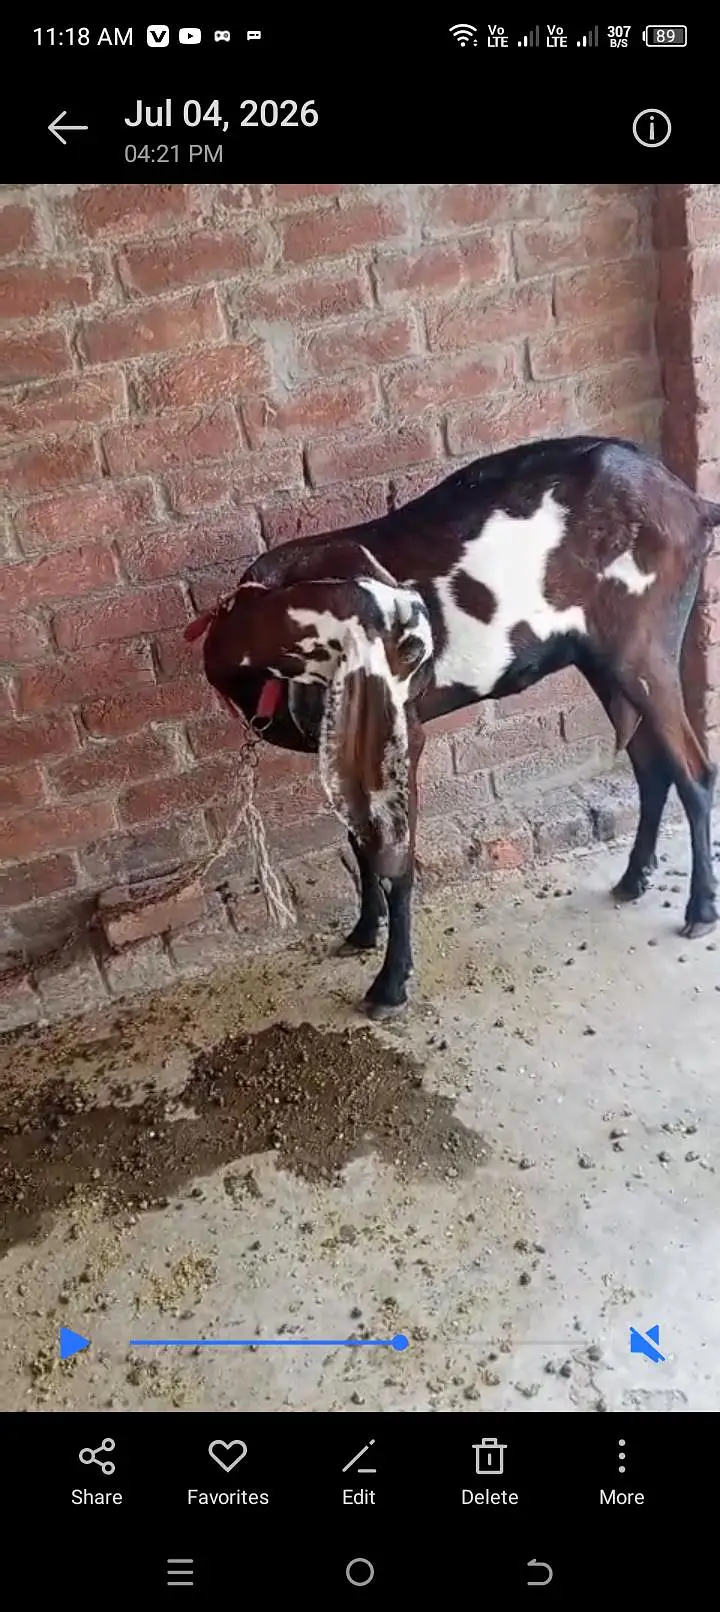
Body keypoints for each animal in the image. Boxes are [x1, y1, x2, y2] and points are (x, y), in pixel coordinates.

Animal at [187, 434, 720, 1019]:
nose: (424, 630)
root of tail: (692, 503)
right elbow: (359, 842)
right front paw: (363, 932)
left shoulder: (402, 737)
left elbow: (394, 857)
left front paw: (390, 985)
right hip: (603, 658)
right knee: (652, 768)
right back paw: (632, 879)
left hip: (644, 647)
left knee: (694, 771)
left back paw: (699, 909)